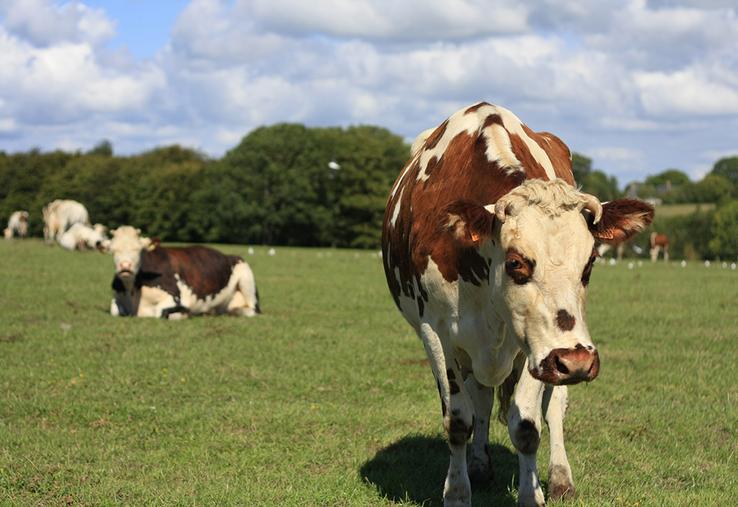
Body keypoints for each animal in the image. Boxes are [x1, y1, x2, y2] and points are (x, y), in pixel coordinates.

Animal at [104, 226, 260, 319]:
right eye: (113, 250)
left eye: (138, 249)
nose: (125, 266)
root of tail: (228, 255)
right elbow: (115, 310)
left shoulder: (176, 298)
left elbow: (162, 313)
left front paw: (184, 314)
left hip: (246, 275)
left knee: (252, 310)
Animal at [381, 102, 654, 507]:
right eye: (516, 262)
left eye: (589, 263)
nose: (576, 361)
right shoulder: (437, 335)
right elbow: (459, 420)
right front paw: (458, 492)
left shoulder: (534, 347)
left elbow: (527, 426)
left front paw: (532, 493)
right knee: (480, 399)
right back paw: (479, 465)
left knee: (553, 407)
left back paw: (560, 477)